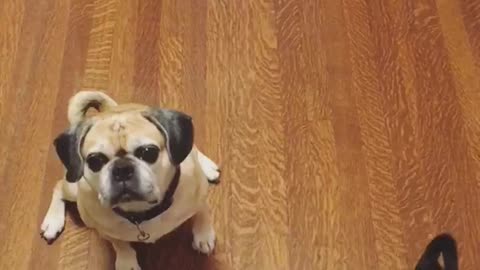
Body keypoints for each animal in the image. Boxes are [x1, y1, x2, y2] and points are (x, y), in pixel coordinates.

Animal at [41, 92, 221, 268]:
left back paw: (207, 166)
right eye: (95, 161)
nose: (122, 169)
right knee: (58, 187)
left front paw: (203, 235)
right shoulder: (104, 230)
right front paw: (127, 261)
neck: (141, 212)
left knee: (192, 148)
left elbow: (202, 213)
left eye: (149, 152)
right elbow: (120, 244)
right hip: (74, 189)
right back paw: (53, 221)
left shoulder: (199, 196)